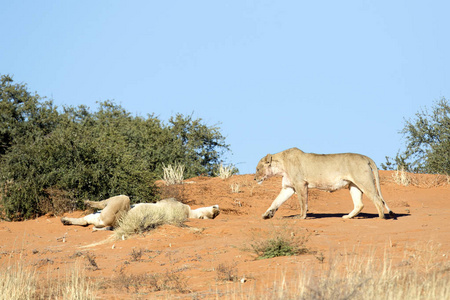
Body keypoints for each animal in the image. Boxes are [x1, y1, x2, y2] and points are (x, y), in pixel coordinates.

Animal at [255, 148, 396, 220]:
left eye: (257, 169)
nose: (255, 179)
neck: (281, 166)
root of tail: (365, 157)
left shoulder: (300, 184)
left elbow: (303, 202)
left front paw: (301, 217)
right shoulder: (288, 187)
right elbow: (276, 201)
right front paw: (267, 214)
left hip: (364, 182)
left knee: (378, 200)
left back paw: (381, 217)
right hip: (353, 185)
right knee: (359, 204)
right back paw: (347, 217)